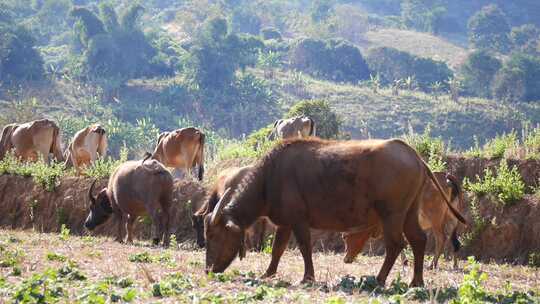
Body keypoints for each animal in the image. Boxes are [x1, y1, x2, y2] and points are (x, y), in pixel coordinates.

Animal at [196, 138, 466, 288]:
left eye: (214, 236)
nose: (209, 270)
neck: (269, 178)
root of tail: (416, 157)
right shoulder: (285, 223)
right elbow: (277, 249)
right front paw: (268, 273)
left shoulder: (299, 221)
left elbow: (305, 248)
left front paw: (307, 277)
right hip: (409, 212)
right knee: (418, 240)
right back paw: (416, 281)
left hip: (392, 215)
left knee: (396, 245)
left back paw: (379, 279)